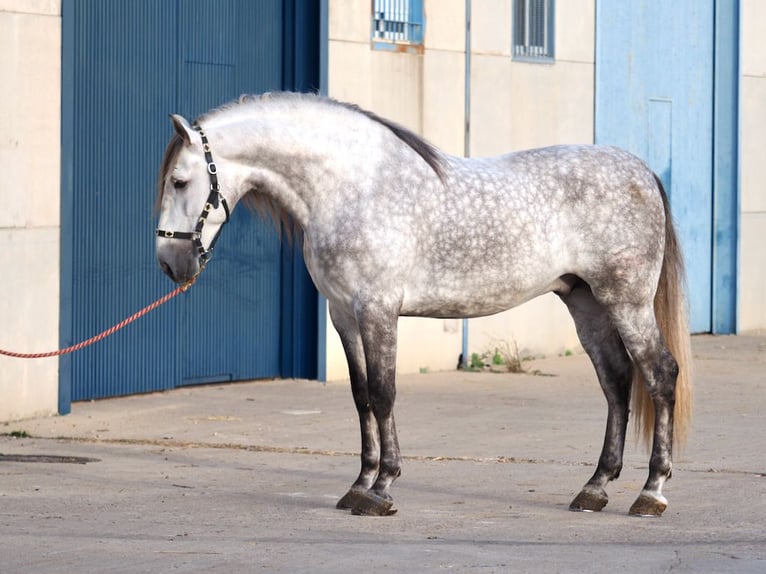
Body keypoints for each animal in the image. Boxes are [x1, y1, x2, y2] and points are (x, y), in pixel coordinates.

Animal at [156, 92, 696, 520]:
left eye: (180, 181)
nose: (169, 263)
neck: (353, 187)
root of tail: (640, 170)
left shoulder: (377, 310)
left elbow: (384, 394)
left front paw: (381, 489)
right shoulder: (343, 315)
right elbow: (361, 397)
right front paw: (359, 484)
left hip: (626, 302)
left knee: (659, 374)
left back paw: (651, 493)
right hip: (586, 303)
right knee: (617, 383)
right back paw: (595, 489)